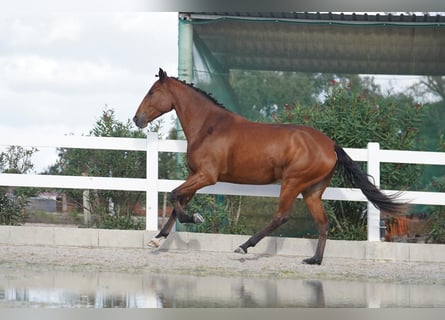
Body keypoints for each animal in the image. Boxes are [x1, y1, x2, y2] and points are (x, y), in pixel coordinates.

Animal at [131, 68, 402, 264]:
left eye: (152, 92)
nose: (137, 119)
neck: (209, 126)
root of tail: (331, 145)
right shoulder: (196, 175)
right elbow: (178, 202)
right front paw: (158, 239)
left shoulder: (207, 176)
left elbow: (174, 195)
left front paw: (194, 218)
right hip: (312, 190)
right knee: (322, 223)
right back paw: (314, 260)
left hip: (293, 182)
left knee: (281, 216)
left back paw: (244, 247)